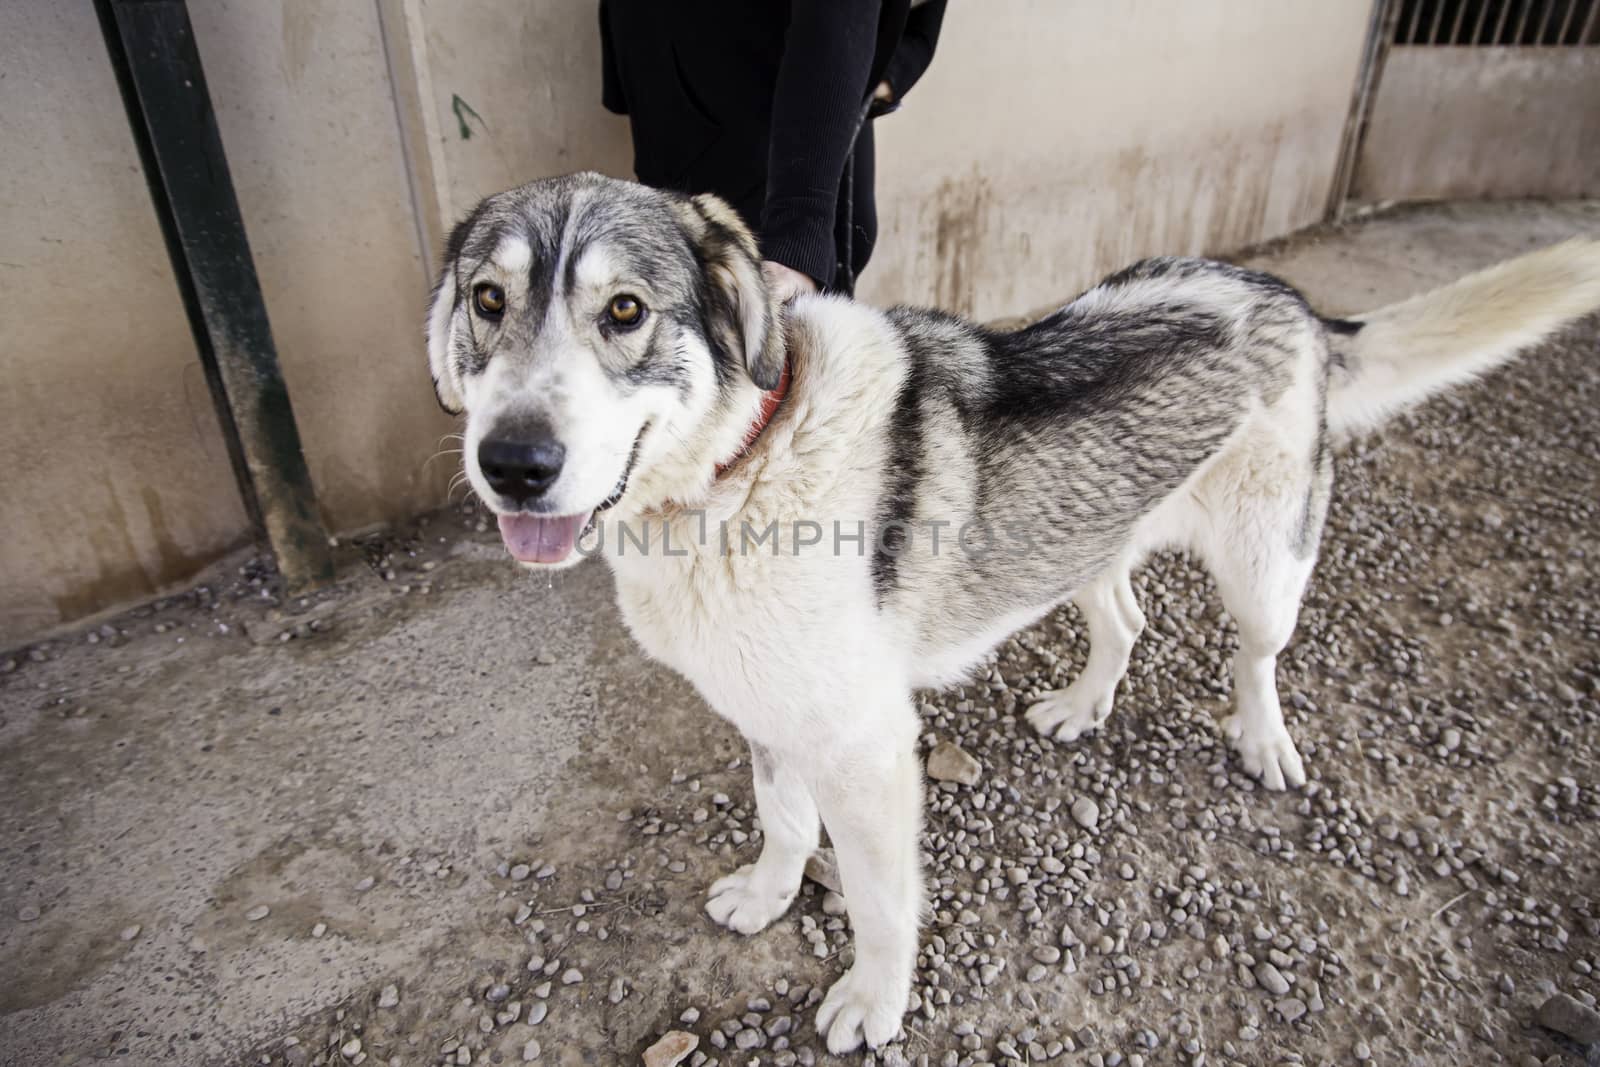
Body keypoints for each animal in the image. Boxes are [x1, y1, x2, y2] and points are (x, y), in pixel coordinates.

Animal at [422, 173, 1600, 1049]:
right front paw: (765, 895)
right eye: (488, 301)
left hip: (1266, 566)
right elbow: (781, 817)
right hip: (1083, 544)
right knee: (1126, 622)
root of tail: (1287, 297)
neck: (738, 468)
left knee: (1255, 655)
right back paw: (1084, 706)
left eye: (624, 311)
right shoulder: (772, 711)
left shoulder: (866, 748)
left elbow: (880, 901)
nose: (513, 464)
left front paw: (872, 1003)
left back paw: (1263, 738)